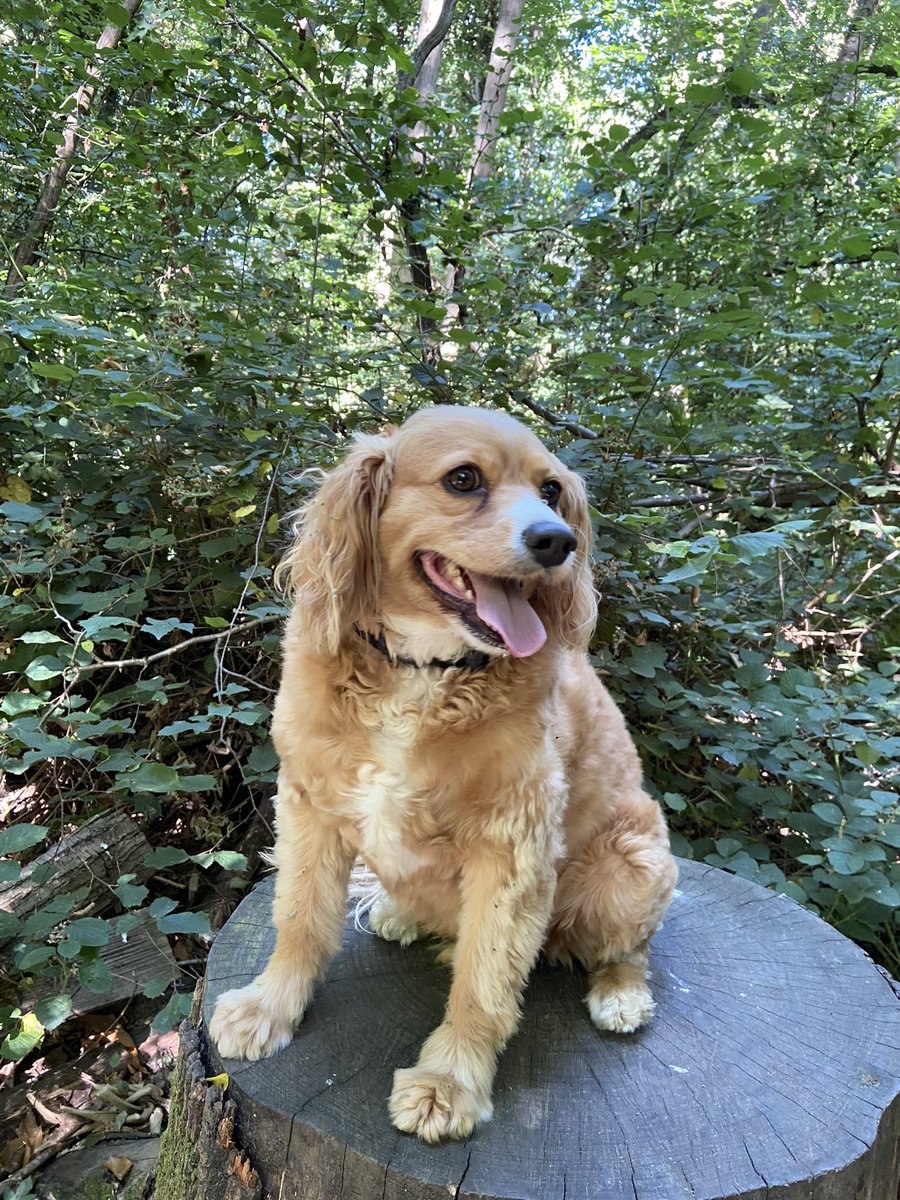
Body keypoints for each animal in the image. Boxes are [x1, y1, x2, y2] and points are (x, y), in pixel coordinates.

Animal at [210, 405, 676, 1142]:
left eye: (551, 491)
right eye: (464, 479)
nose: (559, 541)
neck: (422, 669)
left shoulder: (512, 848)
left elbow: (484, 983)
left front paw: (449, 1083)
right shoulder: (309, 805)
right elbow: (300, 918)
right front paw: (269, 1007)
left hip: (631, 865)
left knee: (629, 947)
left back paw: (621, 995)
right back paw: (401, 912)